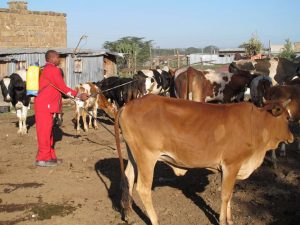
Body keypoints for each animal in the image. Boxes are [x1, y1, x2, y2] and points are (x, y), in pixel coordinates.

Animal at [113, 95, 292, 225]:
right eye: (287, 118)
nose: (292, 137)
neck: (256, 124)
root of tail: (129, 104)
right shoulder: (231, 164)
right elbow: (225, 195)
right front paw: (222, 221)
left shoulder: (228, 169)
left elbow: (230, 195)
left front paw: (230, 219)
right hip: (147, 157)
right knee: (143, 188)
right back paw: (155, 221)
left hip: (134, 155)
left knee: (128, 178)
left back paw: (128, 215)